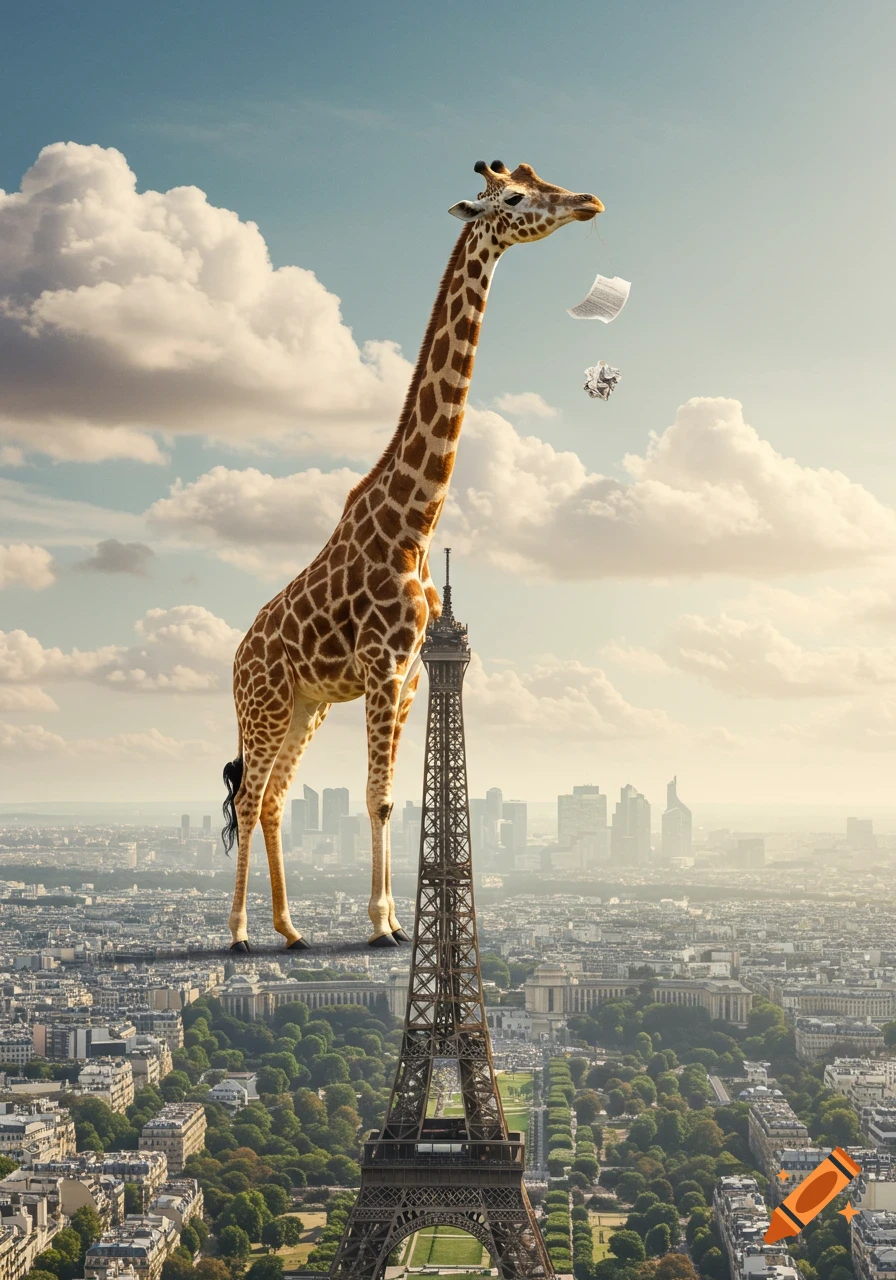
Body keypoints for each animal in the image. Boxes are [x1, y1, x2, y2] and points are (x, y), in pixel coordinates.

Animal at [221, 159, 604, 951]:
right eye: (513, 196)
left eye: (544, 177)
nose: (588, 202)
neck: (416, 526)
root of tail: (236, 658)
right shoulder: (383, 665)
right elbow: (376, 799)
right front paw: (381, 925)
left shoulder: (408, 677)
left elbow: (389, 798)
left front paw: (392, 917)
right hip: (265, 702)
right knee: (247, 799)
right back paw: (240, 932)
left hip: (304, 706)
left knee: (272, 799)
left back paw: (290, 928)